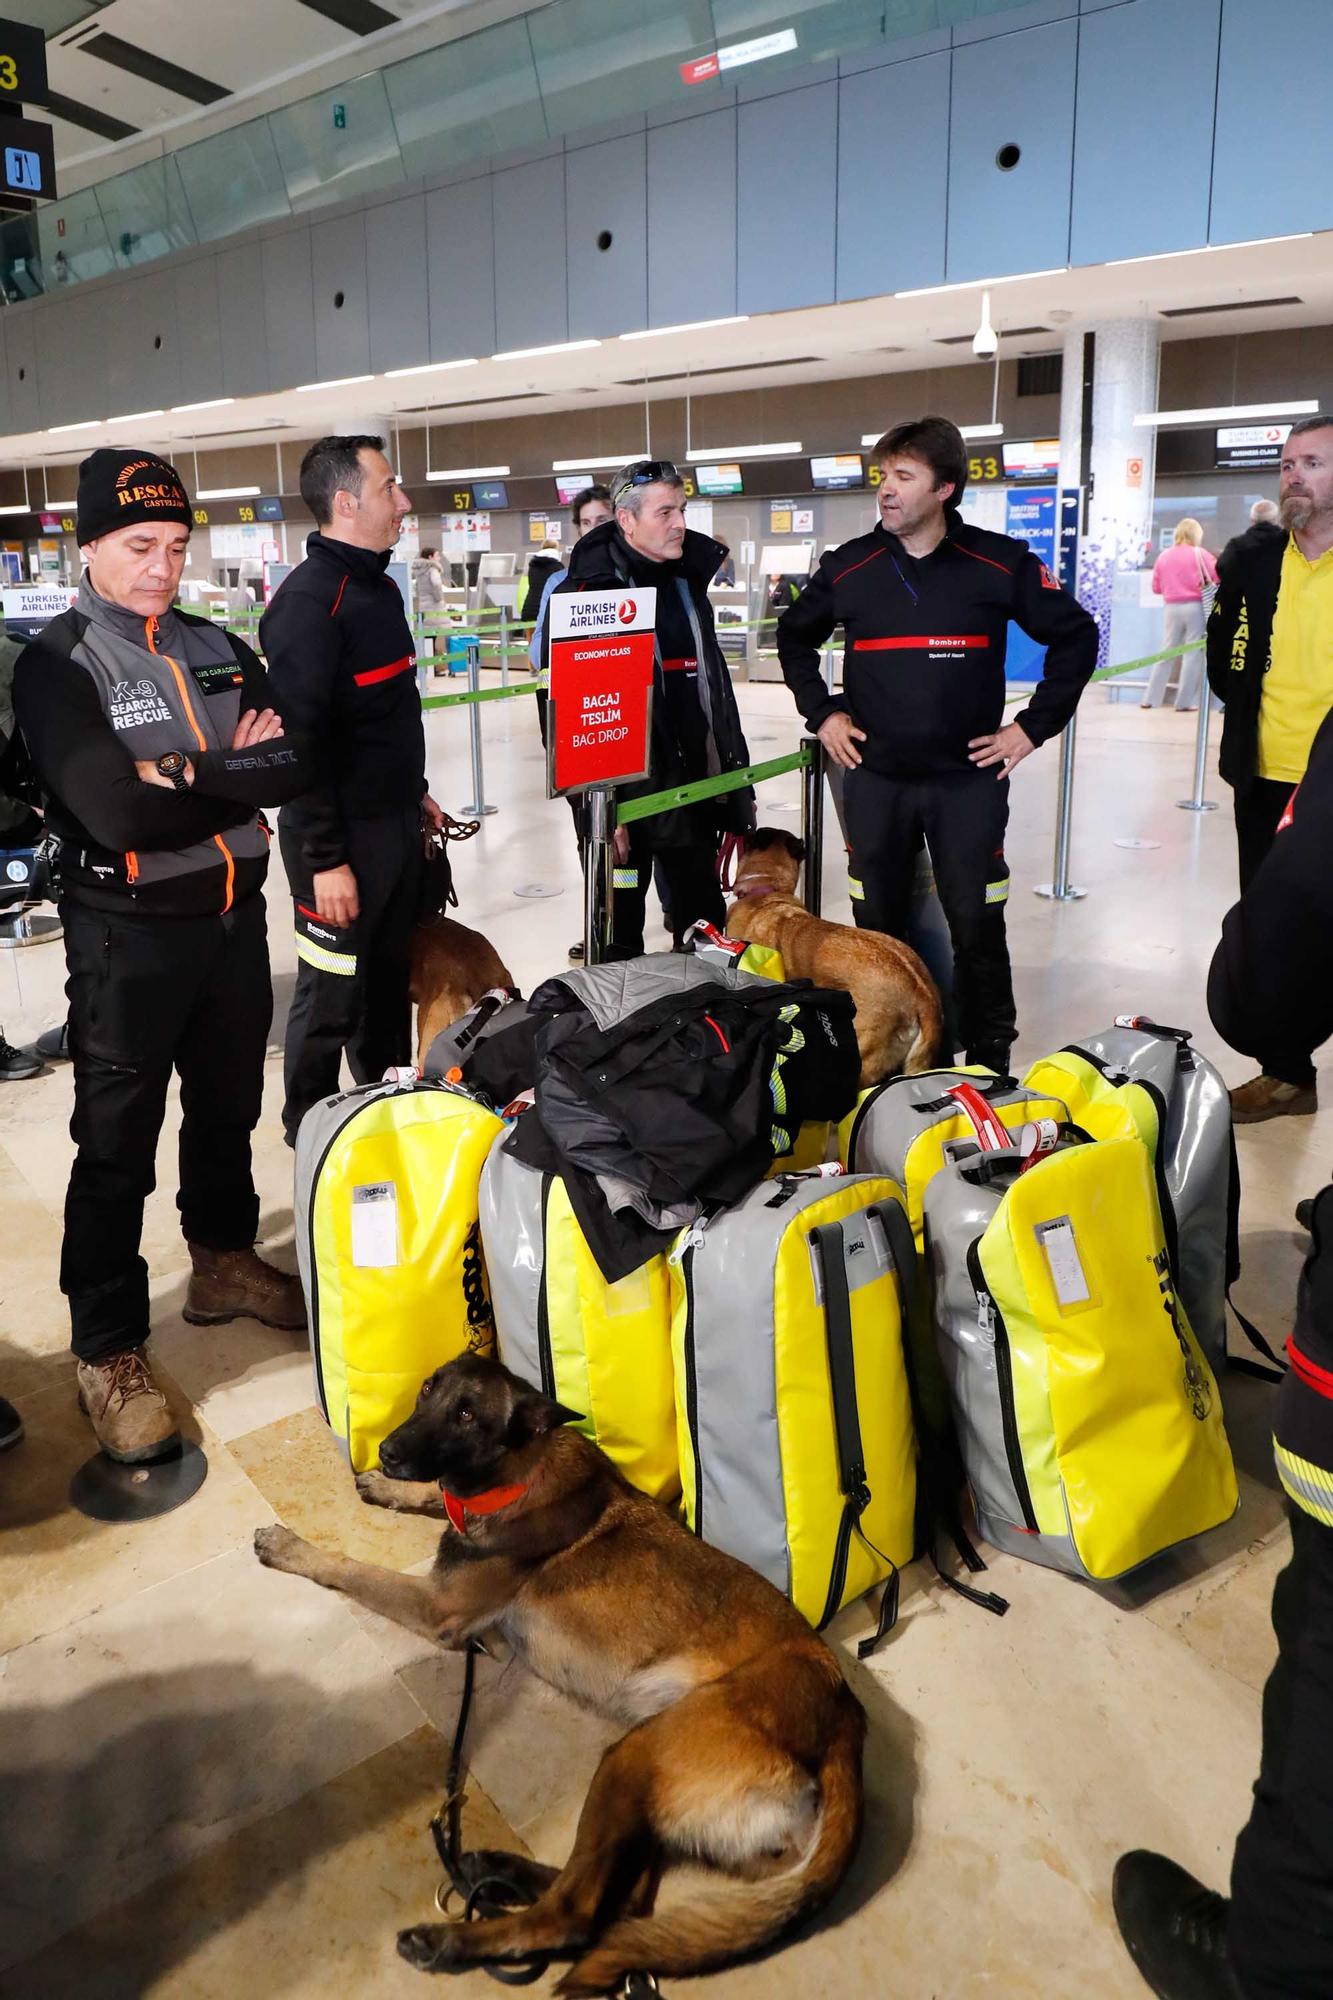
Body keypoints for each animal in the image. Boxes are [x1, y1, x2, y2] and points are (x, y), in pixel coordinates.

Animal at [256, 1352, 860, 1992]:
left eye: (466, 1415)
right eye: (426, 1390)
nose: (389, 1450)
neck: (519, 1469)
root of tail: (845, 1716)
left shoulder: (436, 1607)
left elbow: (353, 1568)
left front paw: (292, 1547)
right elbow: (440, 1499)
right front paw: (390, 1486)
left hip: (635, 1755)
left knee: (575, 1911)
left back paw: (453, 1938)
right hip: (651, 1783)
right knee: (622, 1900)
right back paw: (495, 1869)